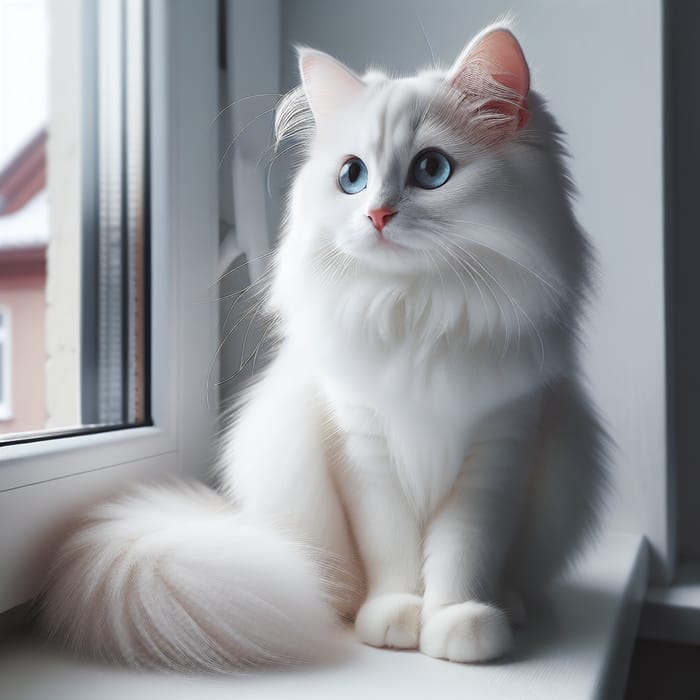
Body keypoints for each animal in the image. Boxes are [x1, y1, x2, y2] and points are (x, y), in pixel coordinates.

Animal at [41, 23, 608, 672]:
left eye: (432, 169)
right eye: (352, 176)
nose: (377, 214)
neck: (419, 310)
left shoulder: (498, 445)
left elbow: (465, 551)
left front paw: (459, 623)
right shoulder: (363, 446)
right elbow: (392, 548)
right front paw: (397, 617)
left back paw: (506, 606)